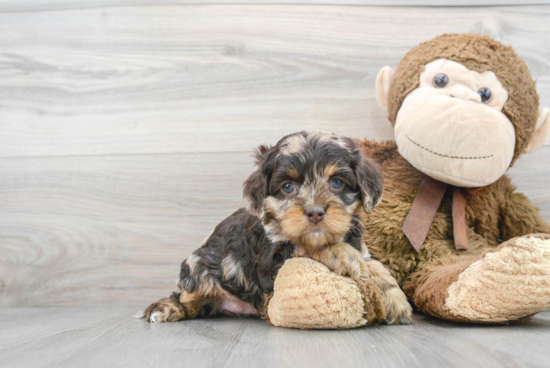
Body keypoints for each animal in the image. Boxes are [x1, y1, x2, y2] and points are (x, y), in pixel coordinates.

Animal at [140, 132, 412, 324]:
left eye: (337, 182)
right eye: (288, 187)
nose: (315, 212)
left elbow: (376, 266)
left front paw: (396, 299)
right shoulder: (269, 261)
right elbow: (305, 246)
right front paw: (340, 253)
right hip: (196, 267)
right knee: (187, 297)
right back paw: (169, 308)